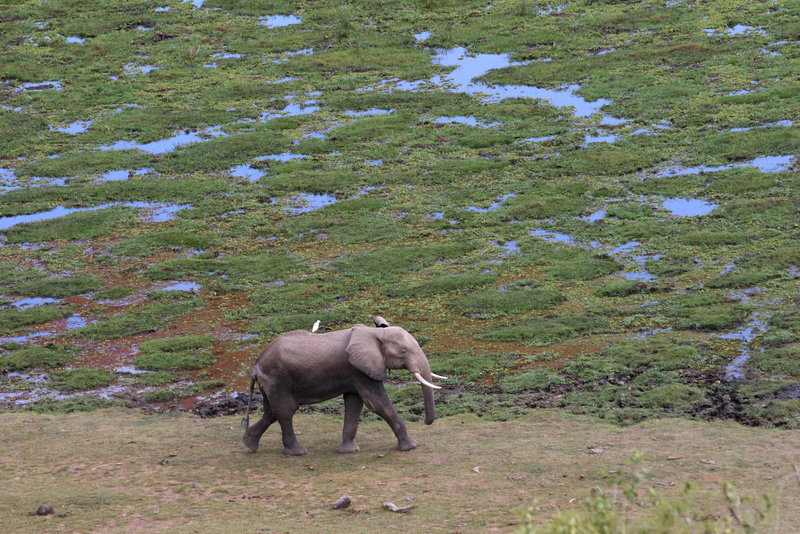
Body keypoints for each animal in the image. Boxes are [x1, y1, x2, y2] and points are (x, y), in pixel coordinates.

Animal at [241, 318, 446, 456]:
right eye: (403, 351)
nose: (425, 422)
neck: (376, 333)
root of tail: (255, 366)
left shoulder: (353, 373)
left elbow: (354, 404)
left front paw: (349, 450)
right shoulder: (358, 369)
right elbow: (377, 403)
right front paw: (411, 446)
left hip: (271, 382)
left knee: (271, 412)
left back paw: (249, 444)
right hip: (277, 379)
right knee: (285, 411)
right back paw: (297, 452)